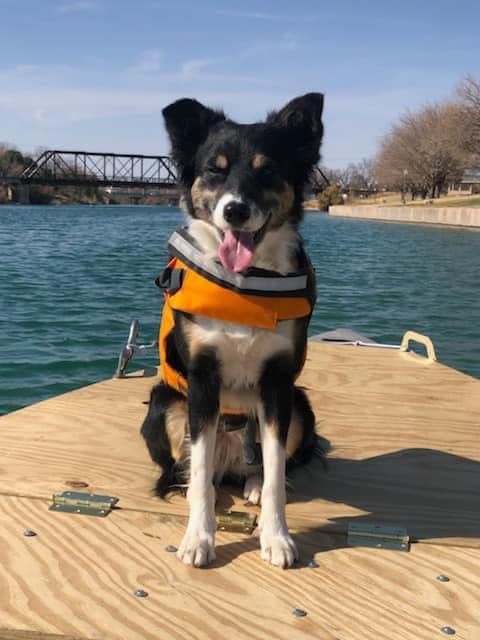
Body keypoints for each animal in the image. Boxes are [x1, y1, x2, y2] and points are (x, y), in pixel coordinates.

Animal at [141, 92, 324, 568]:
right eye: (214, 169)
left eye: (268, 170)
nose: (235, 210)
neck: (245, 284)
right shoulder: (202, 378)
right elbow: (200, 467)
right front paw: (198, 538)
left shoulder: (278, 382)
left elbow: (277, 472)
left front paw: (277, 537)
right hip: (164, 406)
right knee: (189, 470)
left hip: (301, 407)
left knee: (258, 464)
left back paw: (252, 483)